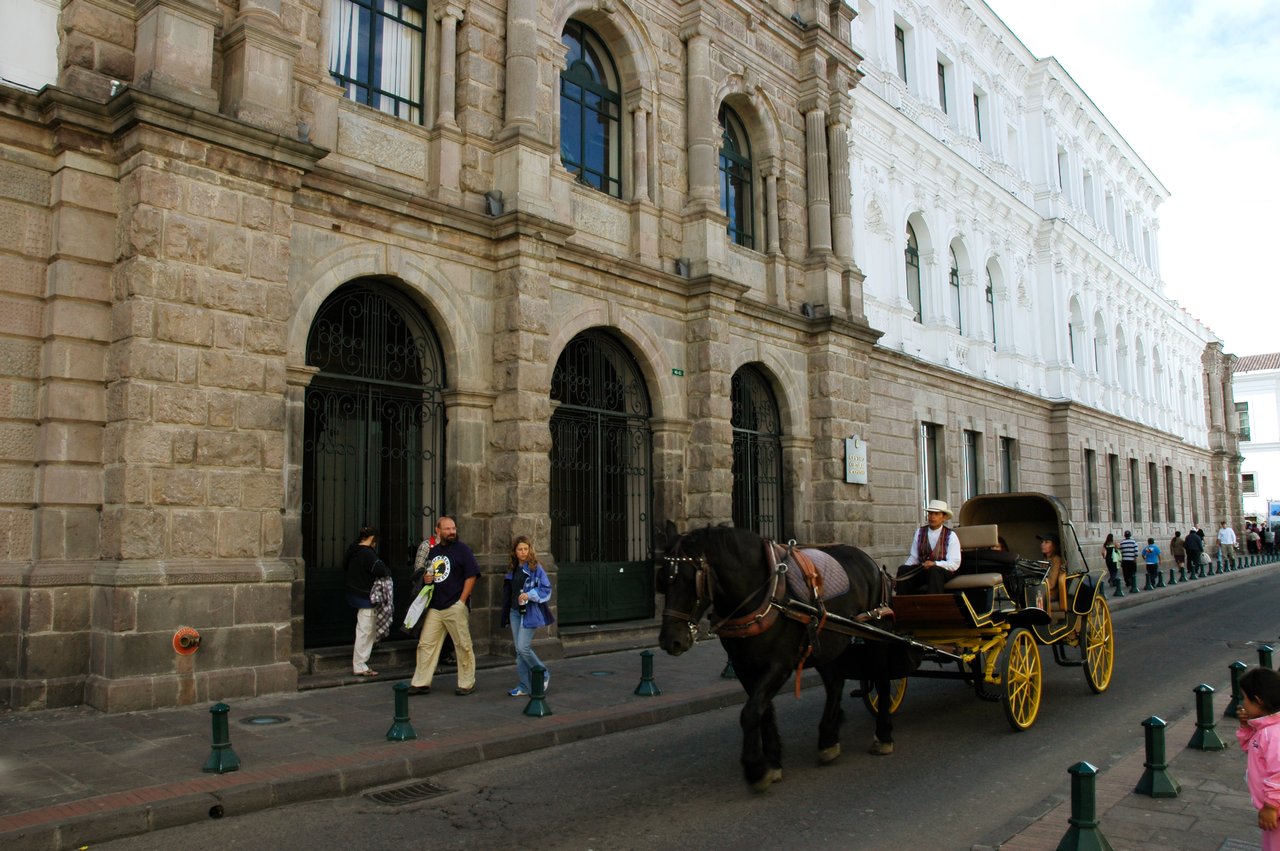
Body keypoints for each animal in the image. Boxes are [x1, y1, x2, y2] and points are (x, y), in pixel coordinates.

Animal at [660, 522, 911, 793]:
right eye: (661, 578)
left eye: (690, 579)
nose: (670, 640)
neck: (764, 592)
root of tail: (872, 563)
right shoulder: (743, 666)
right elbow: (763, 711)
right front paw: (772, 762)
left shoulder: (780, 665)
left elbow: (750, 712)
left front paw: (755, 768)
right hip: (827, 640)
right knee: (835, 683)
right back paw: (828, 740)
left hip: (878, 632)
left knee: (883, 681)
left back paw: (883, 735)